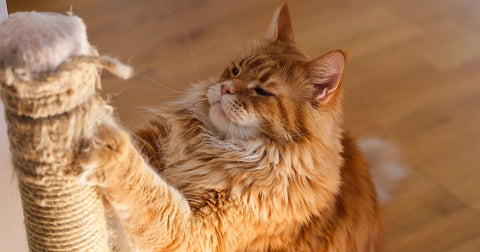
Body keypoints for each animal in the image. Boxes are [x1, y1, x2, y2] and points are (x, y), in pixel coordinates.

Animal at [80, 2, 384, 252]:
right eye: (236, 70)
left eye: (262, 91)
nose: (225, 87)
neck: (212, 146)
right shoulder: (153, 140)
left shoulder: (193, 233)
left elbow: (147, 190)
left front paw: (108, 143)